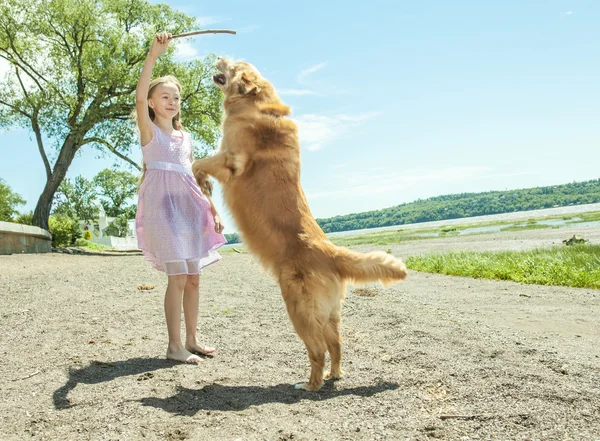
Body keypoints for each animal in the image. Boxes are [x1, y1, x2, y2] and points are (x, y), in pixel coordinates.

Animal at [193, 57, 408, 388]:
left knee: (318, 350)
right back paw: (333, 375)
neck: (257, 104)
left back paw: (309, 384)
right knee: (337, 346)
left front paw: (201, 181)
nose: (218, 55)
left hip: (297, 309)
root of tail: (332, 253)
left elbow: (197, 162)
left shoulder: (230, 159)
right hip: (328, 314)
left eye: (234, 64)